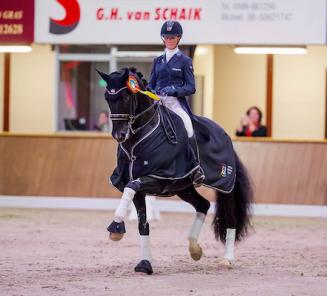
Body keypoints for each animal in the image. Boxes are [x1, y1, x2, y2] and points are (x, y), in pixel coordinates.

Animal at [97, 67, 254, 276]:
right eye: (107, 97)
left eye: (125, 96)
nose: (119, 135)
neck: (138, 139)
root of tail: (225, 134)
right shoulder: (141, 188)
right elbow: (142, 223)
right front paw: (145, 264)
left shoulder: (159, 177)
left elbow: (131, 186)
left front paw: (115, 227)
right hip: (184, 188)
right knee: (203, 205)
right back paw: (194, 249)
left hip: (224, 186)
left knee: (231, 217)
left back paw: (227, 259)